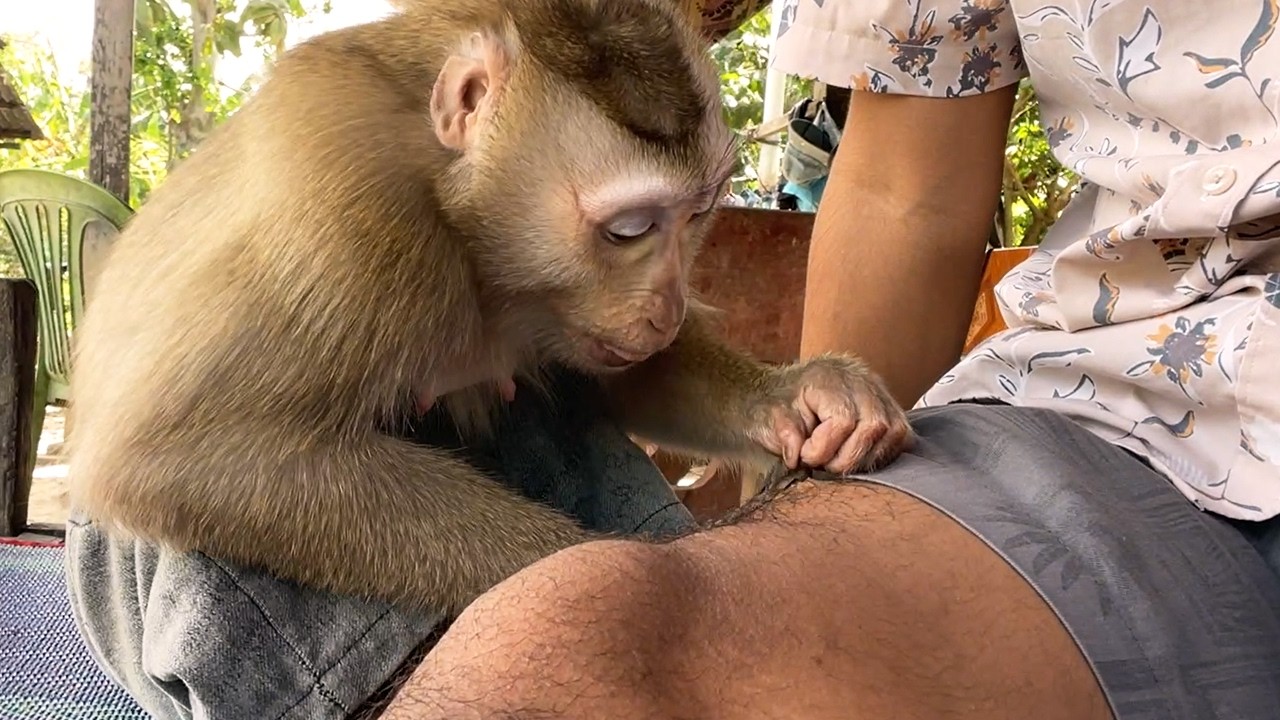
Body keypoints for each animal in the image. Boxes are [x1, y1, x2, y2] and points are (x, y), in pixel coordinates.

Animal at [67, 0, 913, 618]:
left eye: (699, 216)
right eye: (631, 229)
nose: (668, 309)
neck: (453, 205)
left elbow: (626, 379)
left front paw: (800, 395)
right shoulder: (344, 215)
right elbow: (179, 456)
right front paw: (607, 571)